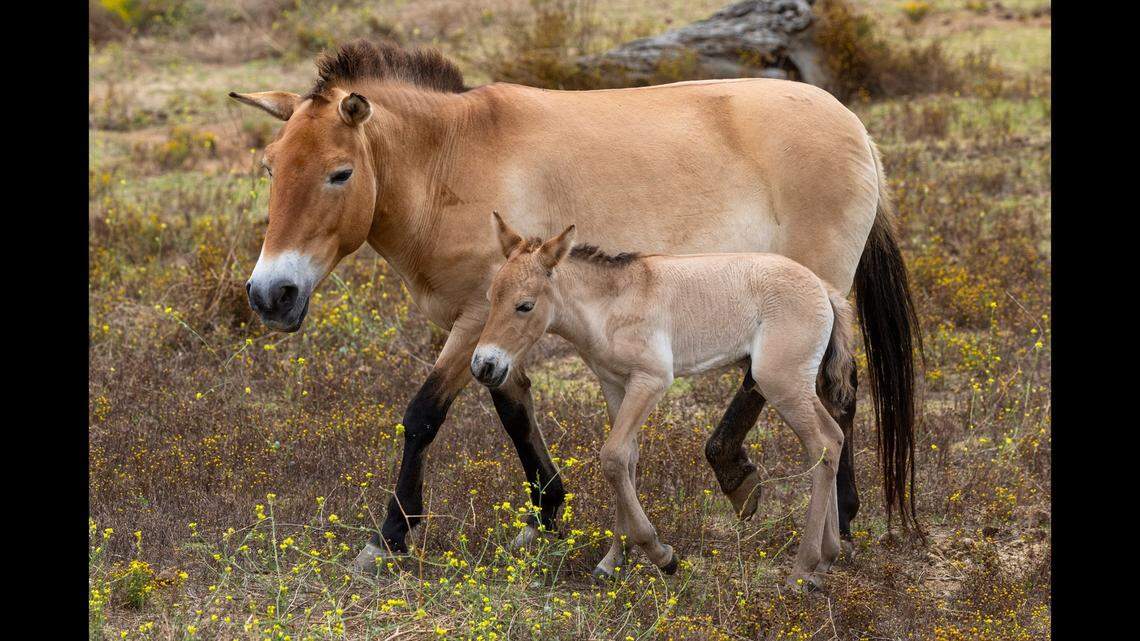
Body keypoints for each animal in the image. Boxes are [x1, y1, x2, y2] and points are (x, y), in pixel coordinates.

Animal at [471, 213, 856, 589]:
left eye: (525, 305)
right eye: (490, 296)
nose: (484, 365)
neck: (612, 304)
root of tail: (824, 289)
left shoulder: (650, 381)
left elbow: (612, 456)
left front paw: (661, 555)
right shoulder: (615, 385)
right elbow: (626, 460)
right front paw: (614, 561)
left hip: (780, 383)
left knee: (821, 444)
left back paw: (802, 569)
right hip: (797, 386)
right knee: (834, 439)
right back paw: (826, 559)